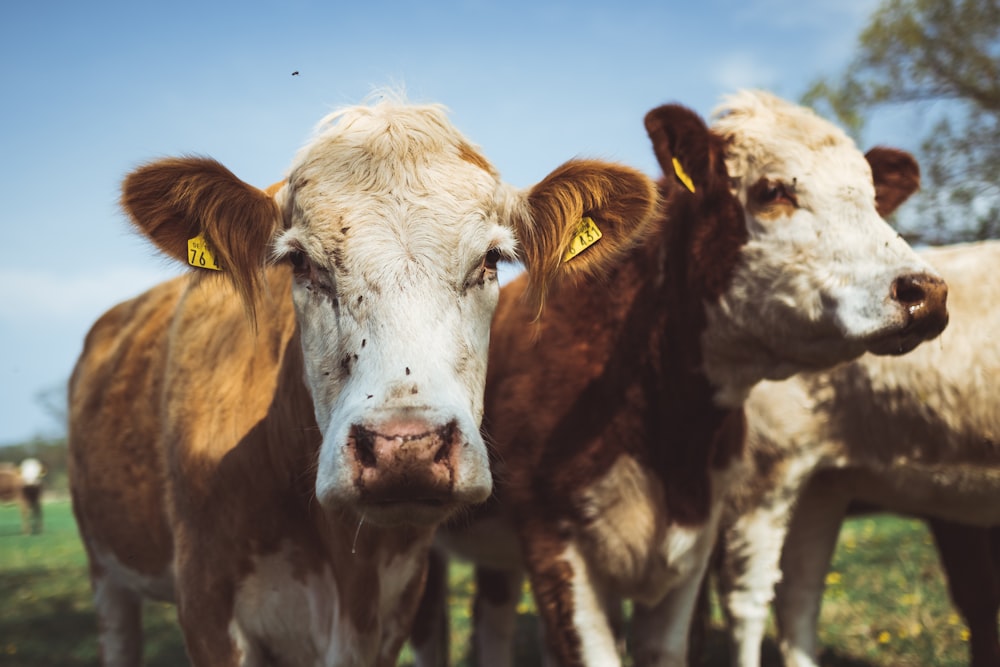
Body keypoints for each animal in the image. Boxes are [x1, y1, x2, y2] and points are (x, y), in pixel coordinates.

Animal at [66, 95, 660, 667]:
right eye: (299, 262)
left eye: (492, 259)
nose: (407, 449)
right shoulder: (207, 609)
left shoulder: (391, 609)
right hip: (103, 571)